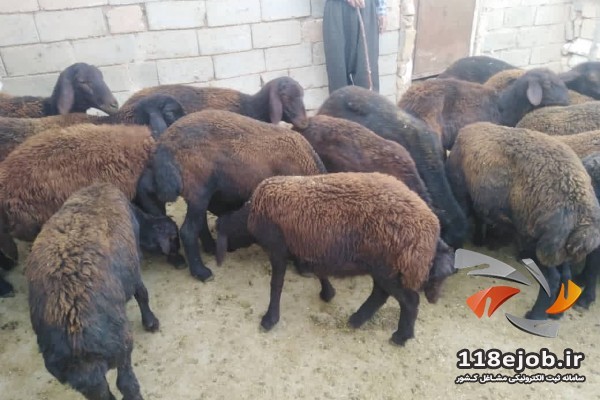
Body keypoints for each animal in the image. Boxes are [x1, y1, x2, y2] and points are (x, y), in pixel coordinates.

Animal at [26, 183, 172, 400]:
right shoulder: (134, 267)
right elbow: (142, 294)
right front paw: (151, 322)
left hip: (81, 379)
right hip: (121, 346)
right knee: (127, 384)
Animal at [151, 109, 326, 282]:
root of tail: (165, 142)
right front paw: (302, 267)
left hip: (199, 197)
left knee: (200, 224)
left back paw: (211, 248)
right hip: (199, 193)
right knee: (188, 231)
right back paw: (202, 272)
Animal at [215, 172, 456, 346]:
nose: (227, 253)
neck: (251, 214)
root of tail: (431, 228)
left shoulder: (277, 249)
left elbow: (276, 285)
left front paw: (269, 319)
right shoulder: (306, 247)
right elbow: (317, 270)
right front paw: (328, 293)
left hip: (389, 267)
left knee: (409, 301)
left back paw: (400, 337)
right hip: (383, 267)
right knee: (380, 295)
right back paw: (357, 320)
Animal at [446, 122, 600, 319]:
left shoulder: (462, 197)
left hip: (538, 244)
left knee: (553, 278)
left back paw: (536, 315)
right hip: (559, 249)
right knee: (566, 275)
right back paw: (556, 314)